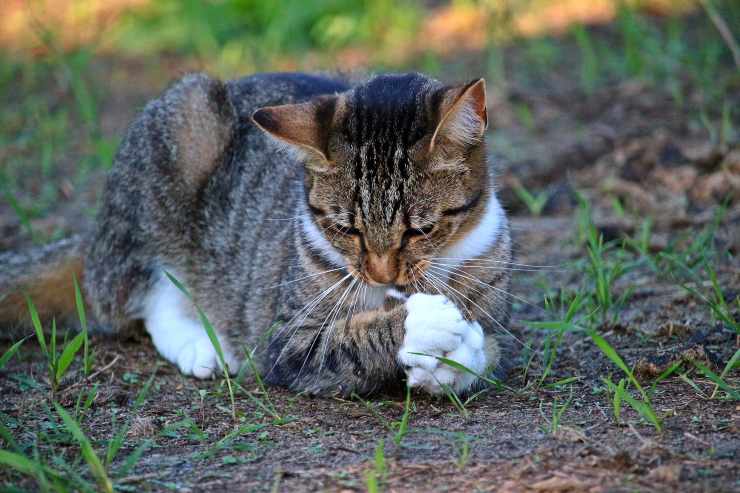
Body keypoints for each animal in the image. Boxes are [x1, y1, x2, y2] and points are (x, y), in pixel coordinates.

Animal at [0, 71, 508, 396]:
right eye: (346, 228)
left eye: (420, 230)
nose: (382, 275)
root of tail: (96, 240)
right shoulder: (287, 341)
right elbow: (348, 342)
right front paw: (425, 324)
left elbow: (488, 349)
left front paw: (455, 357)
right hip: (175, 141)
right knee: (144, 296)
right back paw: (201, 345)